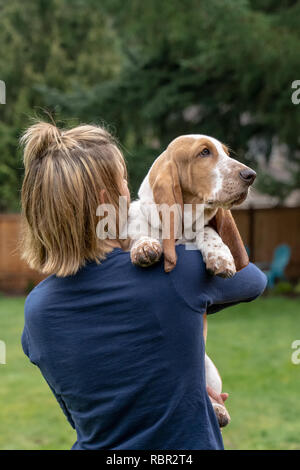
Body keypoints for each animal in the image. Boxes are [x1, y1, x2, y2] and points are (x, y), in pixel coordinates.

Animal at [127, 133, 256, 426]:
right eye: (204, 153)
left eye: (226, 152)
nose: (250, 175)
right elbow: (138, 232)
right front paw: (144, 246)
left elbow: (207, 231)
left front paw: (221, 256)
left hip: (208, 365)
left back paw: (218, 411)